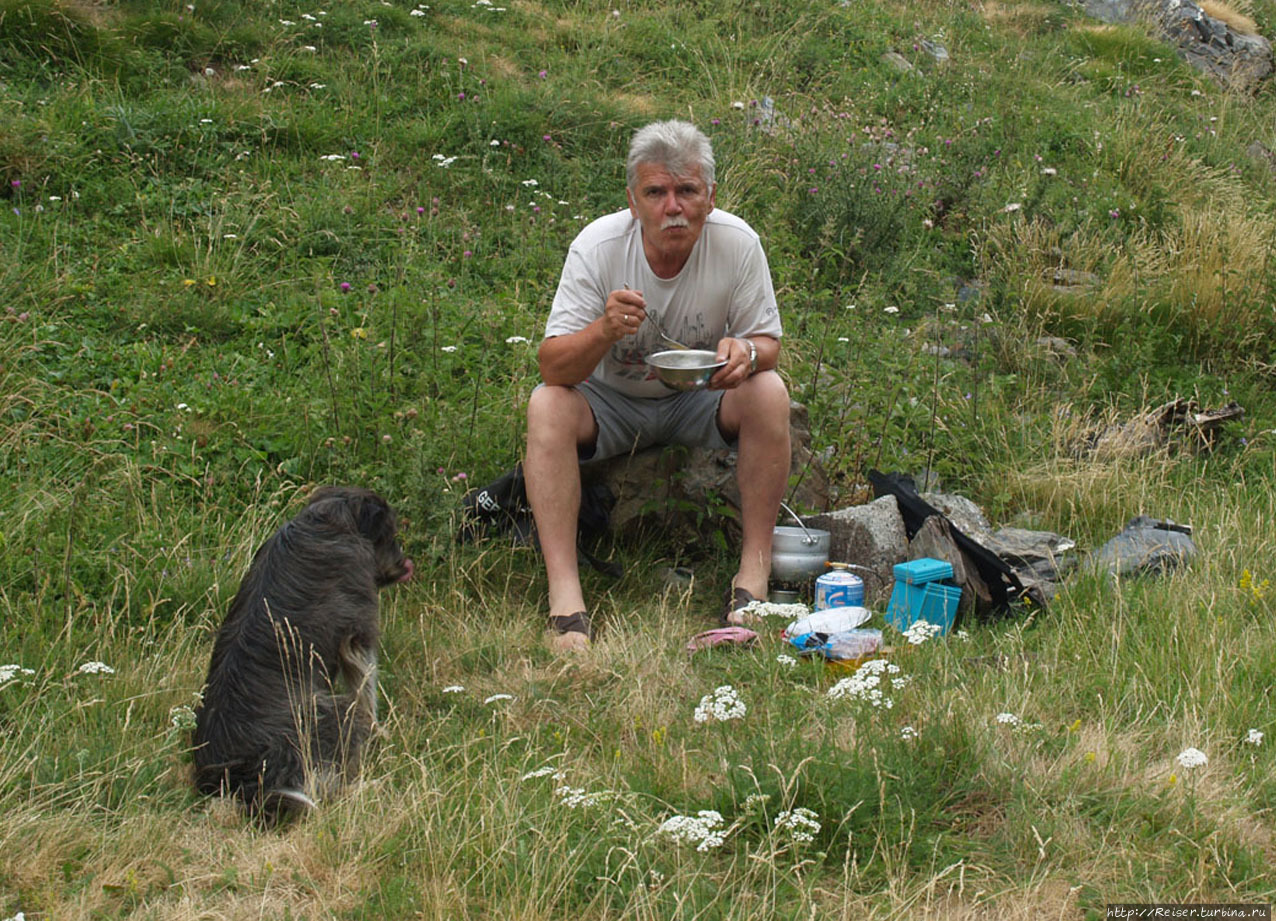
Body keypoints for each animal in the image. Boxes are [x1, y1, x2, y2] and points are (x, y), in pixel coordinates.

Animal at [191, 484, 410, 821]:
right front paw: (381, 732)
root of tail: (238, 780)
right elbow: (366, 689)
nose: (403, 565)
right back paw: (370, 787)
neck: (333, 520)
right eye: (390, 533)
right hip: (333, 713)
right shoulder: (357, 634)